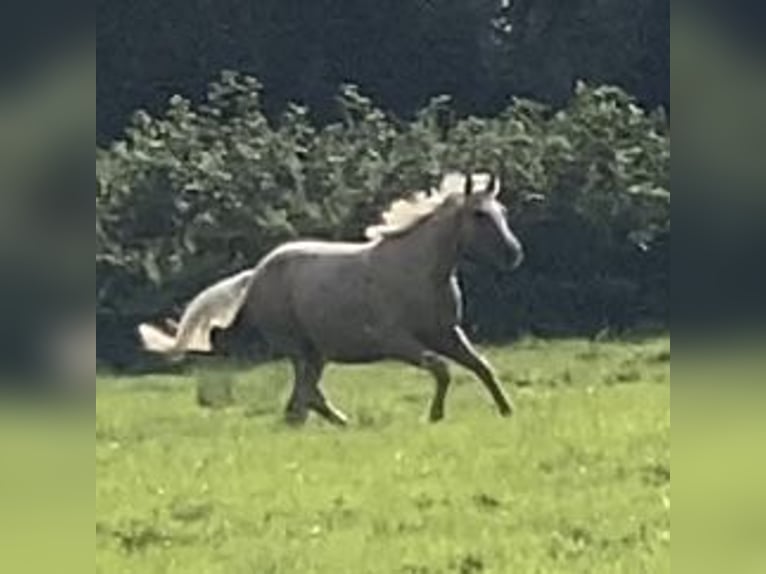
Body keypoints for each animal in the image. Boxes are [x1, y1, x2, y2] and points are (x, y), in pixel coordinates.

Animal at [138, 173, 524, 426]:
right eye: (479, 214)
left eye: (503, 212)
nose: (513, 254)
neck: (418, 270)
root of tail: (255, 274)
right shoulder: (396, 341)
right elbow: (442, 369)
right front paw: (435, 416)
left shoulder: (446, 332)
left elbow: (481, 366)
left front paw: (508, 410)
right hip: (299, 347)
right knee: (307, 393)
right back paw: (339, 422)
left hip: (316, 351)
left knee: (303, 397)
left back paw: (327, 423)